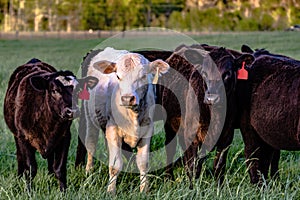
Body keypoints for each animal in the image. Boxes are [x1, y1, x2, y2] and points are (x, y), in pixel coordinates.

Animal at [3, 58, 98, 191]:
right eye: (55, 90)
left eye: (78, 90)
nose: (72, 111)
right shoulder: (23, 138)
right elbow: (30, 168)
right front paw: (28, 191)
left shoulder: (64, 137)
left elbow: (59, 168)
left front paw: (63, 191)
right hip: (16, 137)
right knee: (20, 158)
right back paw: (19, 177)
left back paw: (50, 177)